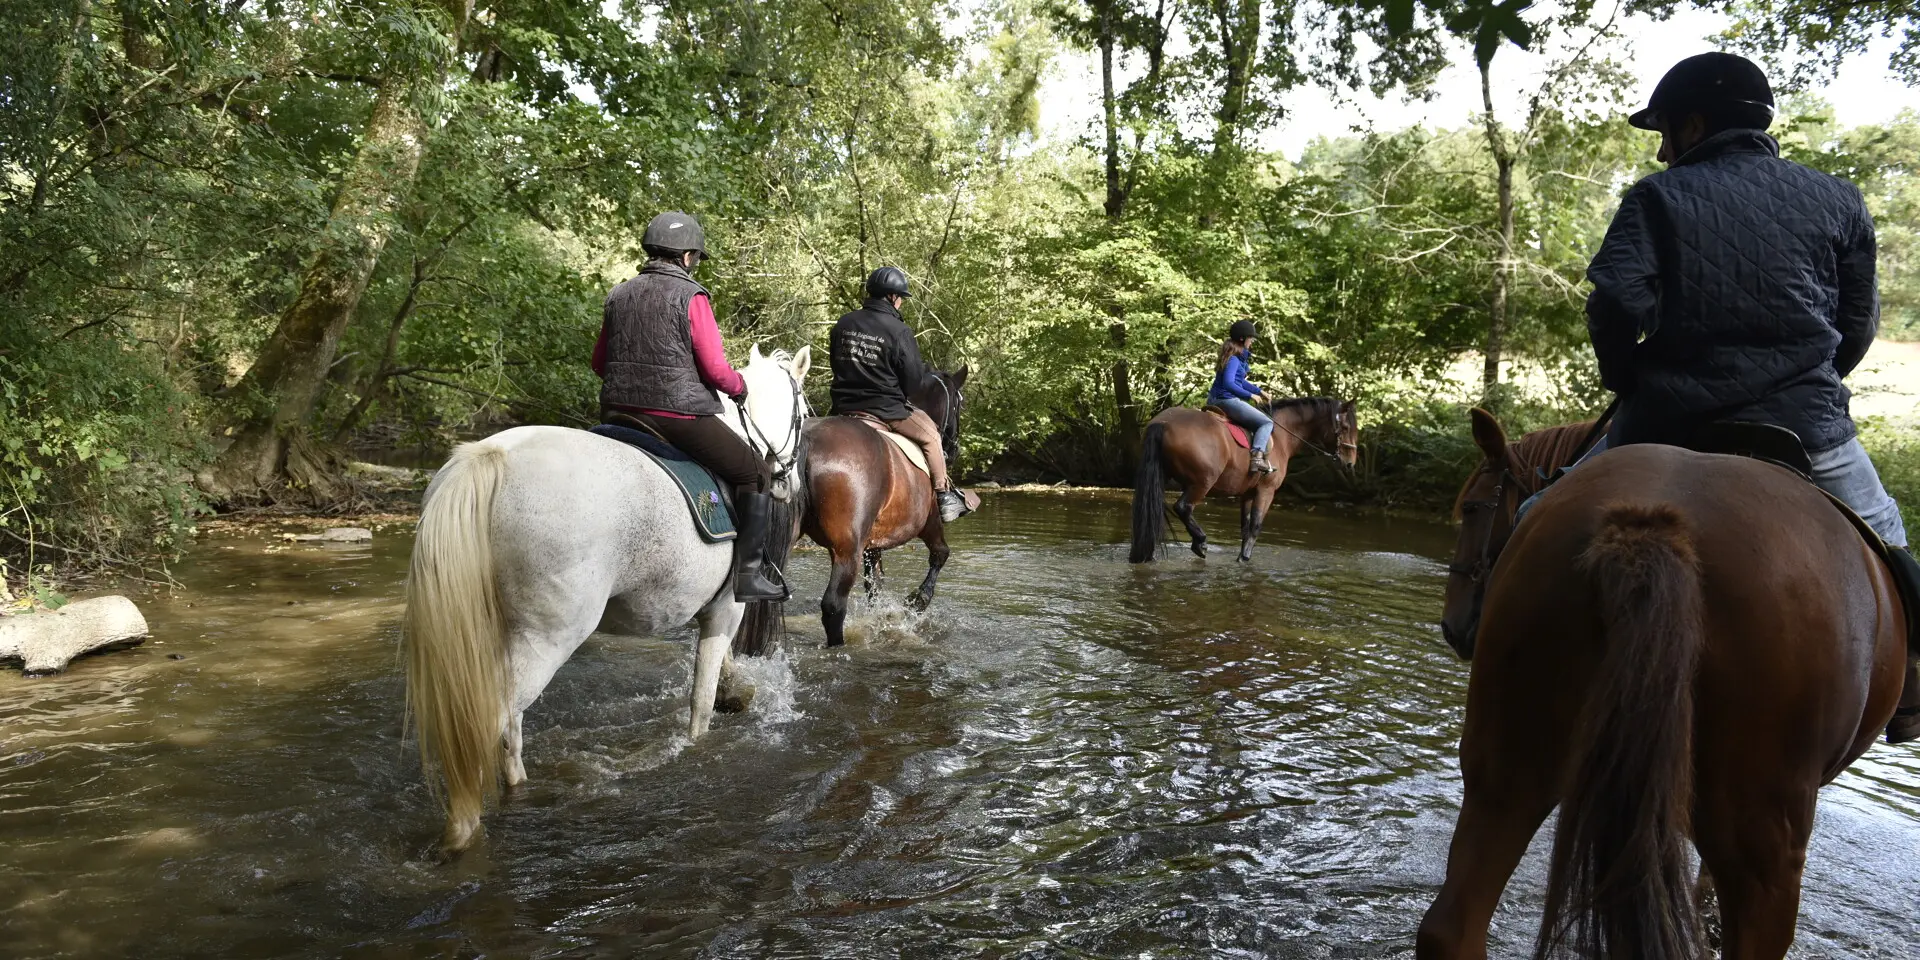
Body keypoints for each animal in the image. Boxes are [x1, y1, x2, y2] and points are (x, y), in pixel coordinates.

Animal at [402, 345, 811, 854]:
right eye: (806, 412)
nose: (790, 485)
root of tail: (490, 456)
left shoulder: (709, 609)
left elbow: (720, 669)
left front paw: (738, 693)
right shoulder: (727, 608)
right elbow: (701, 697)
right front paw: (702, 738)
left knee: (509, 728)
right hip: (548, 638)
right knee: (492, 720)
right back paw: (462, 830)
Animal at [797, 365, 968, 649]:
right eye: (959, 404)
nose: (953, 450)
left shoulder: (872, 545)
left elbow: (874, 585)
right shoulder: (930, 524)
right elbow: (940, 554)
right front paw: (916, 602)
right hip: (846, 550)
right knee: (833, 605)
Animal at [1128, 398, 1359, 562]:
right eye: (1346, 428)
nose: (1350, 463)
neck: (1281, 436)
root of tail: (1163, 423)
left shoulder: (1247, 493)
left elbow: (1245, 527)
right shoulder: (1266, 490)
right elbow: (1256, 525)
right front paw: (1244, 558)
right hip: (1202, 483)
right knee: (1183, 507)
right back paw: (1200, 542)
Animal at [1419, 408, 1907, 959]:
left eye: (1473, 507)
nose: (1452, 626)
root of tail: (1651, 524)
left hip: (1507, 771)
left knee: (1450, 927)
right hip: (1765, 839)